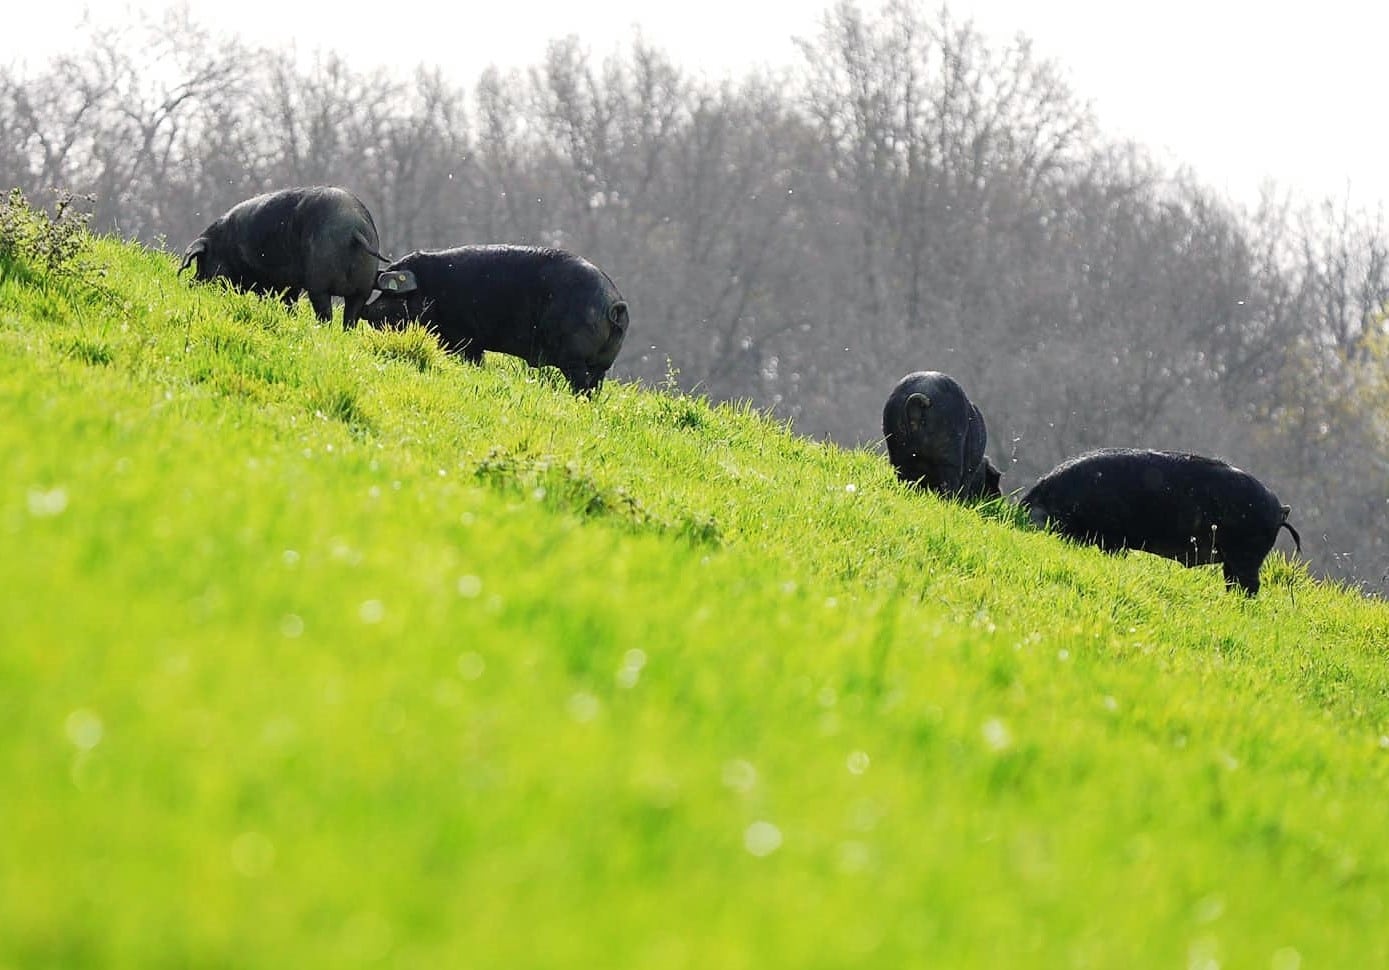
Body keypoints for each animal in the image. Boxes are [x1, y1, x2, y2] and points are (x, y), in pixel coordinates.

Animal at [179, 186, 386, 328]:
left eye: (201, 261)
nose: (190, 285)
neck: (226, 247)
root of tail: (354, 230)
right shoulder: (290, 284)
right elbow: (289, 302)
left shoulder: (267, 279)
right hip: (363, 288)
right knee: (350, 318)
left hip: (319, 282)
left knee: (326, 314)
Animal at [364, 245, 629, 395]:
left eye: (393, 294)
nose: (367, 312)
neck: (431, 289)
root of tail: (615, 303)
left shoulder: (464, 338)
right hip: (601, 365)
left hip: (574, 358)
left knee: (582, 387)